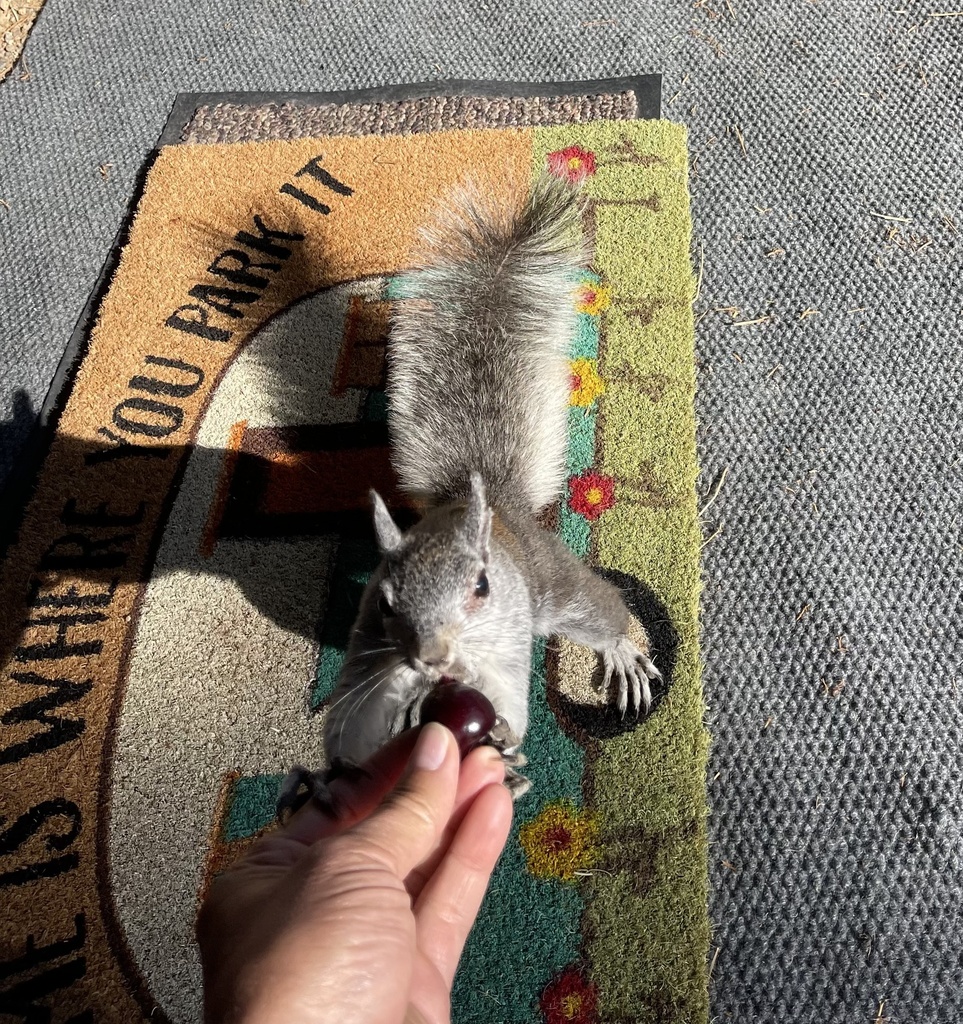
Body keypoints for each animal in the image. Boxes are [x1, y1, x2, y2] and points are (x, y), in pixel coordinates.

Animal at [282, 169, 663, 806]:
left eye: (483, 587)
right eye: (384, 602)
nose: (434, 658)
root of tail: (483, 495)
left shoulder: (504, 637)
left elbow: (503, 691)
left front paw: (498, 739)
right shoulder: (366, 657)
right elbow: (351, 726)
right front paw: (328, 773)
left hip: (551, 586)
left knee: (597, 607)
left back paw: (620, 650)